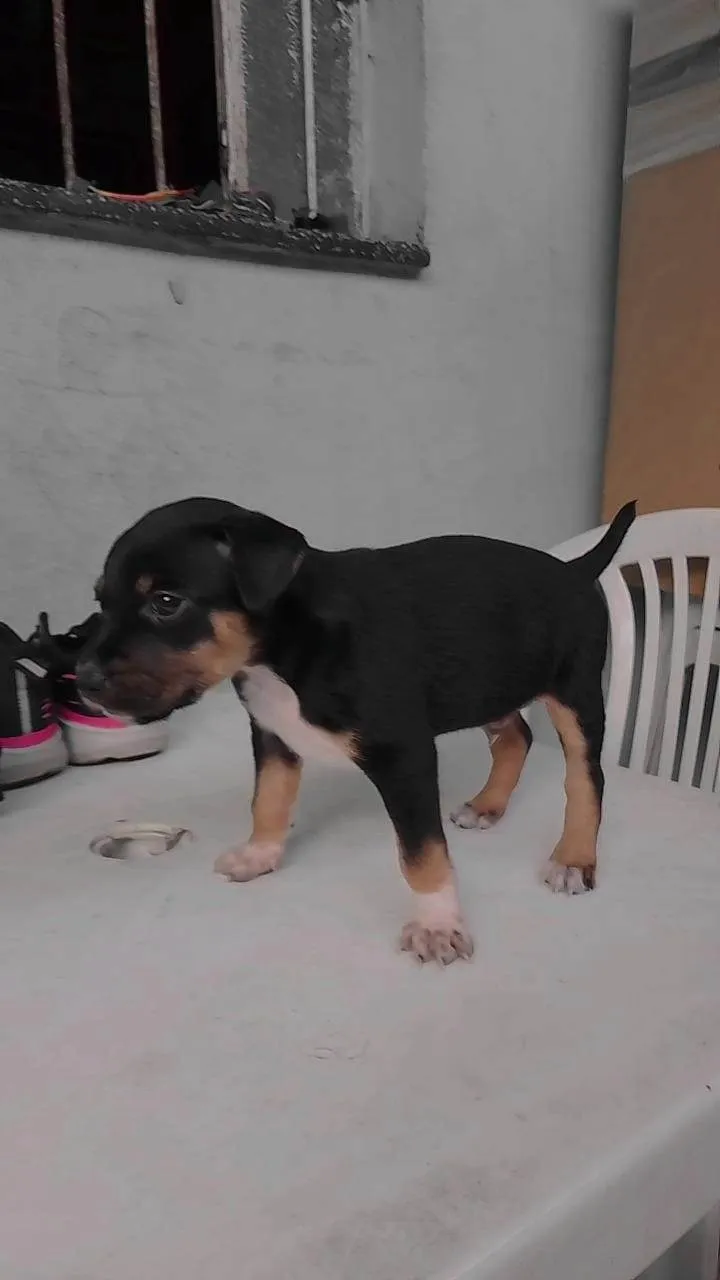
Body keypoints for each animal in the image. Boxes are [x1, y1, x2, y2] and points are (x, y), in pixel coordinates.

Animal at [78, 497, 635, 964]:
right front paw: (260, 854)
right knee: (515, 736)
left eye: (166, 602)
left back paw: (573, 857)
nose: (83, 680)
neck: (285, 648)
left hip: (575, 694)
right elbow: (269, 799)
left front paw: (437, 924)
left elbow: (421, 853)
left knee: (586, 777)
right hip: (490, 681)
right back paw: (487, 805)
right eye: (101, 602)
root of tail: (574, 569)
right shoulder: (273, 734)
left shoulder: (404, 755)